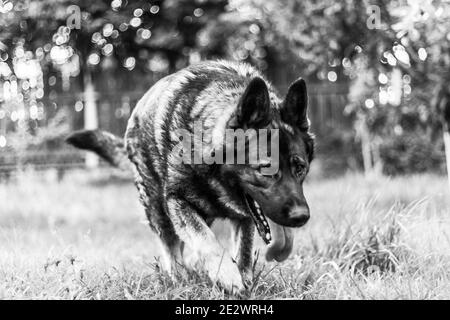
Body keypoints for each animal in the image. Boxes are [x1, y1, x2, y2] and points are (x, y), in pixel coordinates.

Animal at [67, 60, 314, 292]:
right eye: (265, 169)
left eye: (300, 168)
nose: (301, 217)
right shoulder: (177, 201)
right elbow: (207, 241)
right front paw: (228, 275)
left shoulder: (244, 217)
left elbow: (242, 250)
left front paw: (244, 278)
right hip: (158, 211)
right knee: (172, 249)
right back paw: (179, 279)